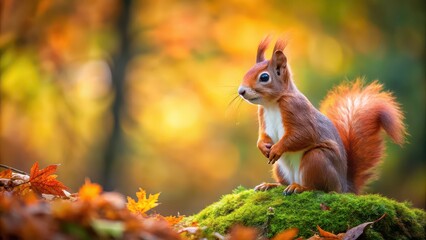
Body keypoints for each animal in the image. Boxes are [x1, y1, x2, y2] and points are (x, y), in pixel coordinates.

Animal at [240, 37, 406, 195]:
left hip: (317, 159)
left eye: (264, 77)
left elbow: (304, 134)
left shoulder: (295, 109)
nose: (241, 91)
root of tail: (343, 186)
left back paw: (300, 187)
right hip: (280, 169)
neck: (272, 104)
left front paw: (277, 149)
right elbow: (263, 136)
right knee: (284, 183)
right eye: (248, 71)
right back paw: (270, 185)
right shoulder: (263, 115)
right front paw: (263, 146)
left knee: (319, 187)